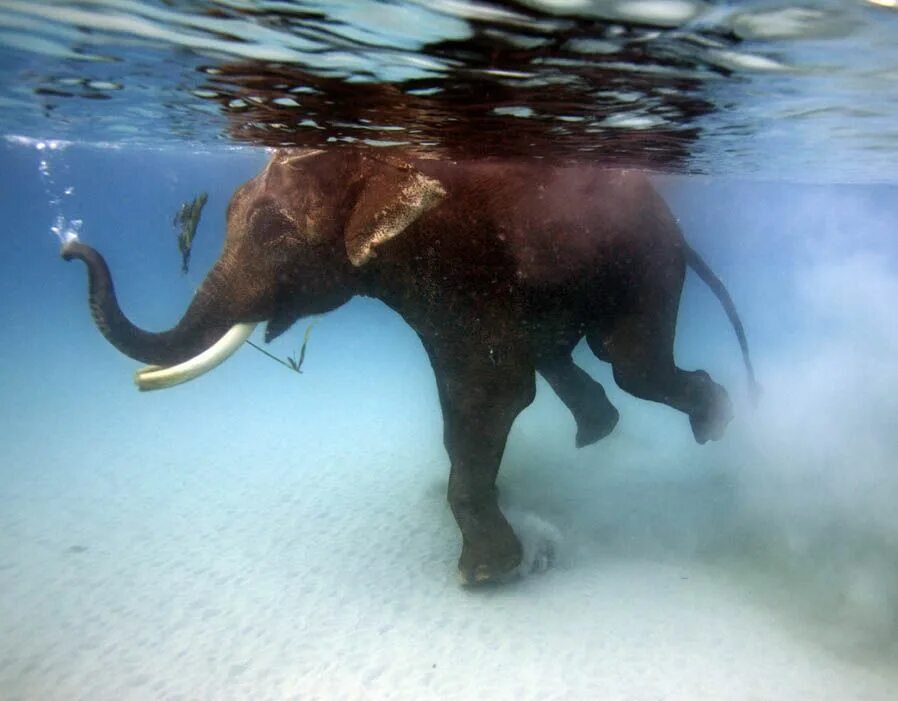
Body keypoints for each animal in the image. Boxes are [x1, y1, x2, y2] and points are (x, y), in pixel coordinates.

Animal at [61, 148, 756, 584]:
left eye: (274, 229)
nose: (70, 249)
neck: (381, 164)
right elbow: (470, 395)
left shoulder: (460, 261)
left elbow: (486, 395)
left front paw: (485, 576)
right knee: (573, 356)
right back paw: (602, 430)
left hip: (647, 257)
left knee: (630, 362)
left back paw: (714, 421)